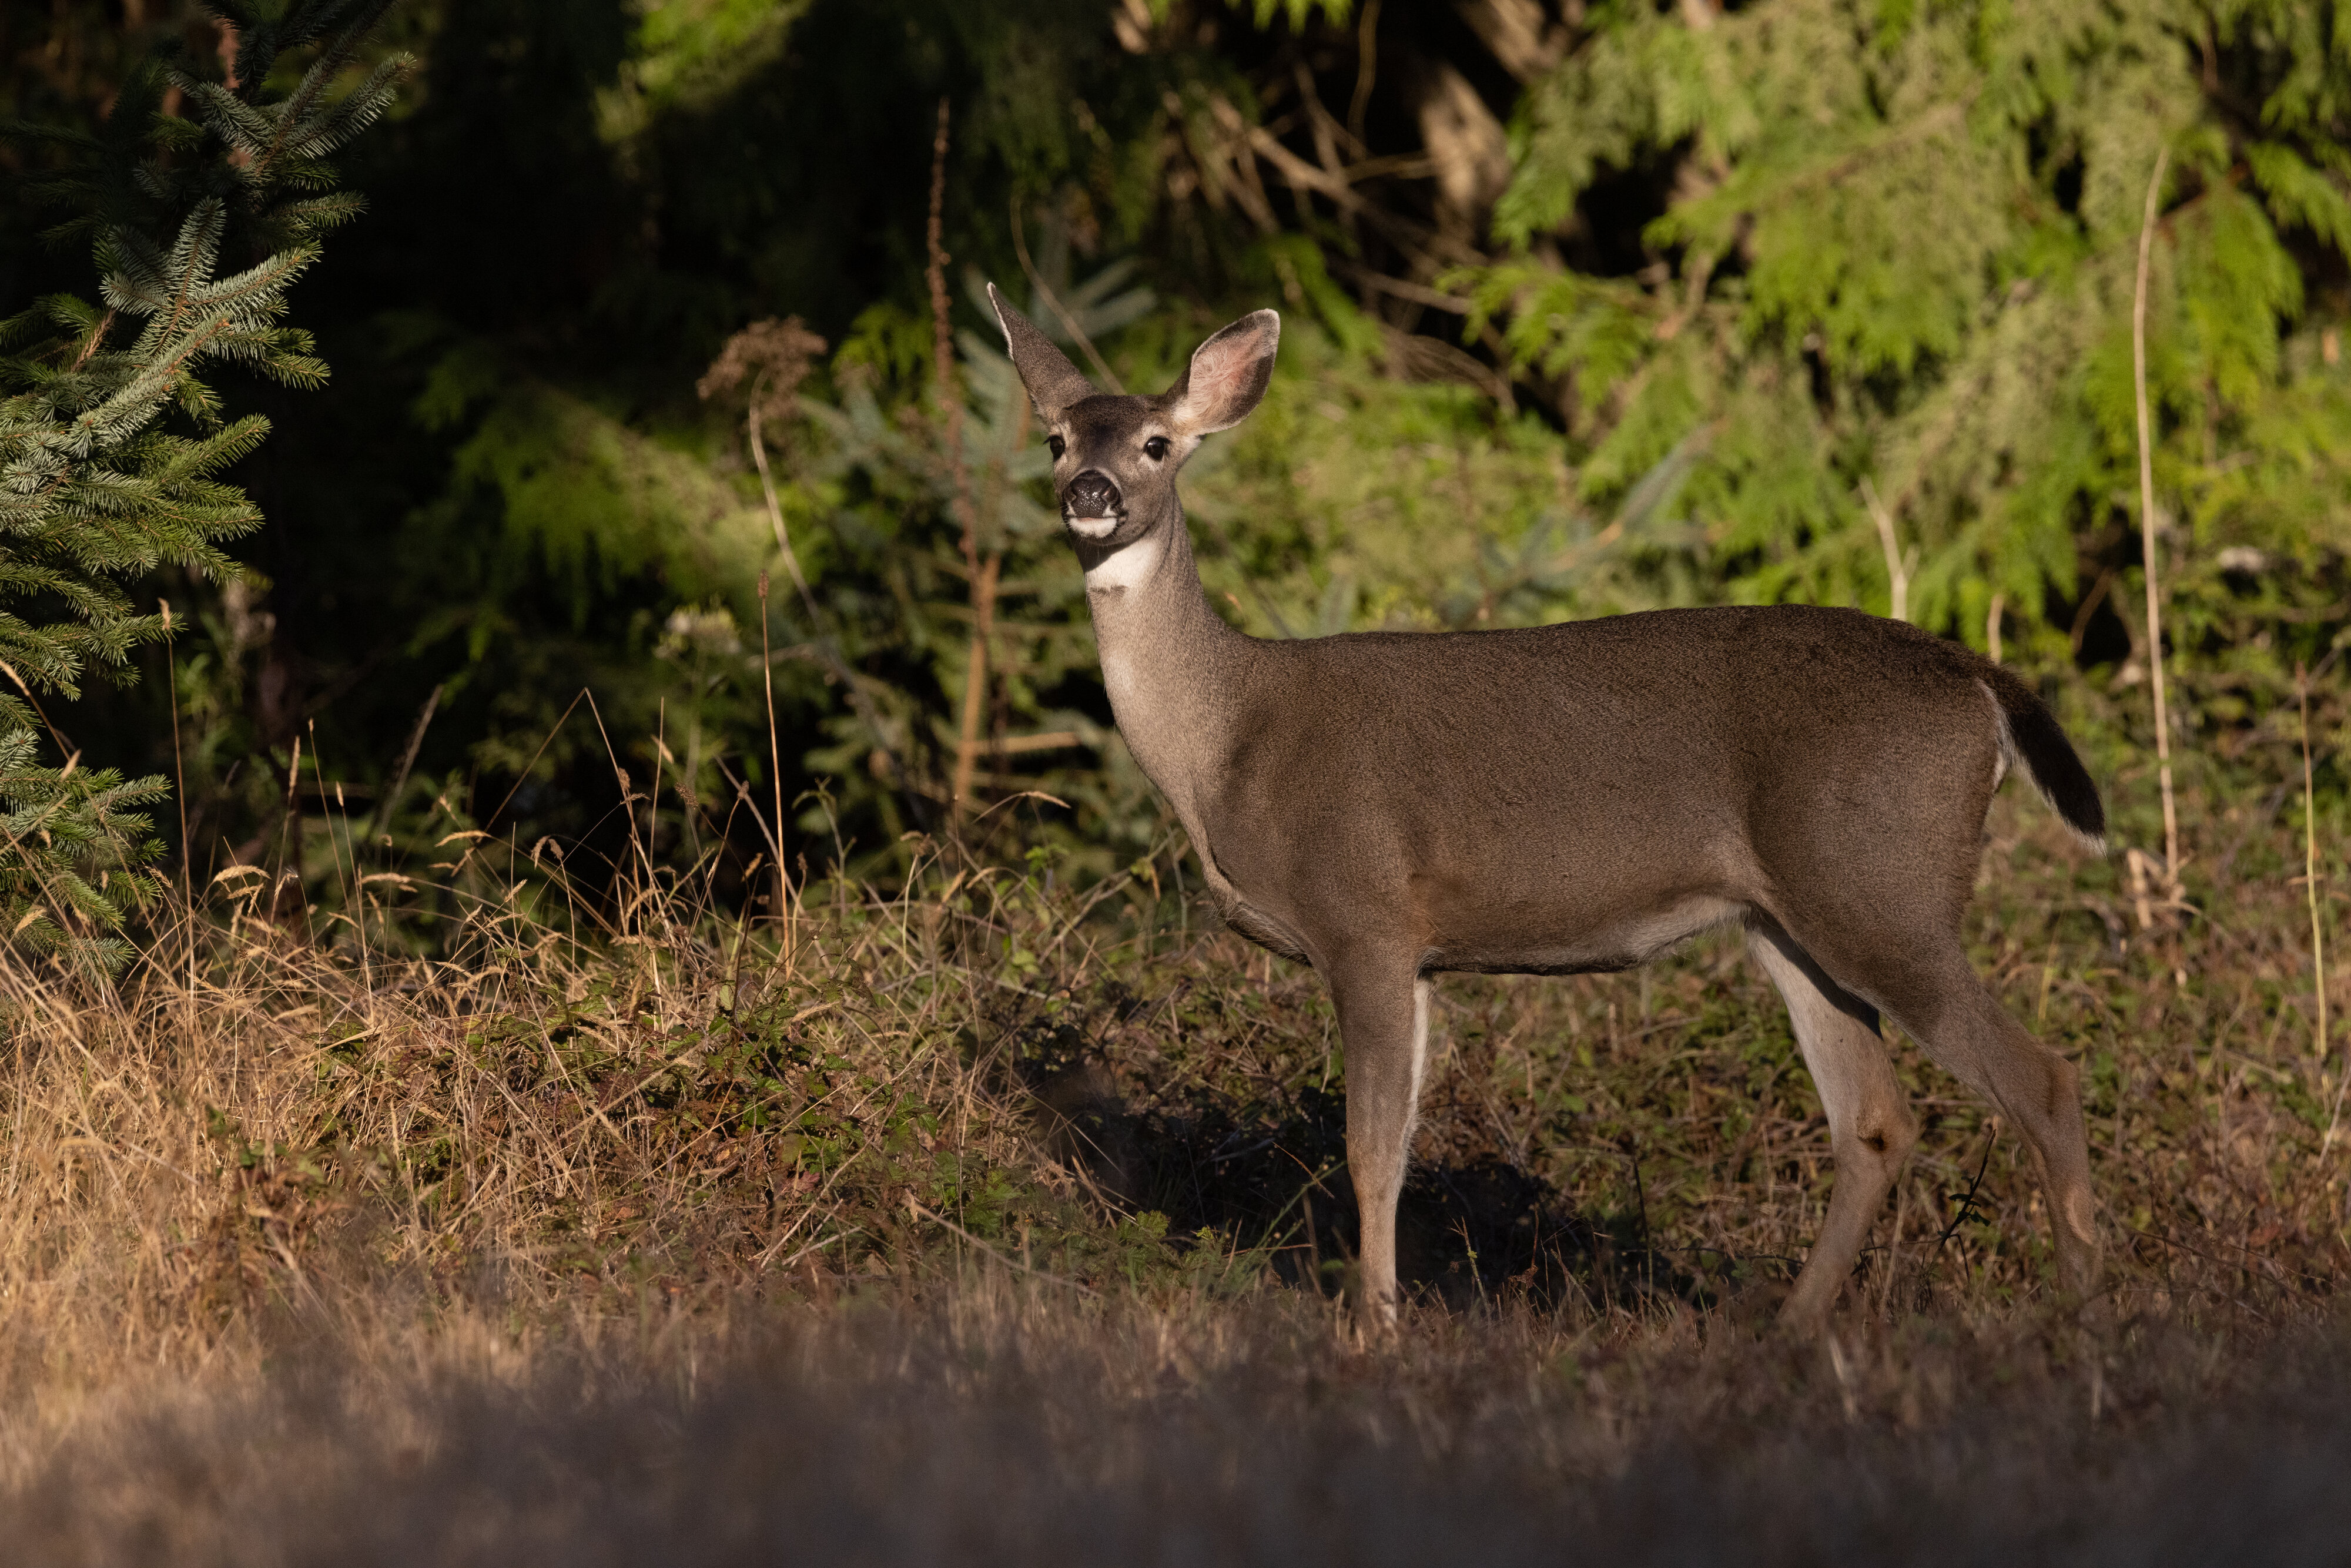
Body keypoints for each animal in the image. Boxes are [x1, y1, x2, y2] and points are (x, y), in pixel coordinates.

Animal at [992, 288, 2116, 1335]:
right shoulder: (1421, 950)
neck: (1226, 743)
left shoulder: (1366, 914)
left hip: (1885, 884)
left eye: (1155, 443)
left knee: (2044, 1083)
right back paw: (1791, 1330)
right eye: (1056, 439)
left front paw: (1377, 1327)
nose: (1091, 492)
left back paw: (2079, 1324)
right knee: (1876, 1121)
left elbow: (1368, 1149)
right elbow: (1398, 1146)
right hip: (1790, 917)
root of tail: (1978, 683)